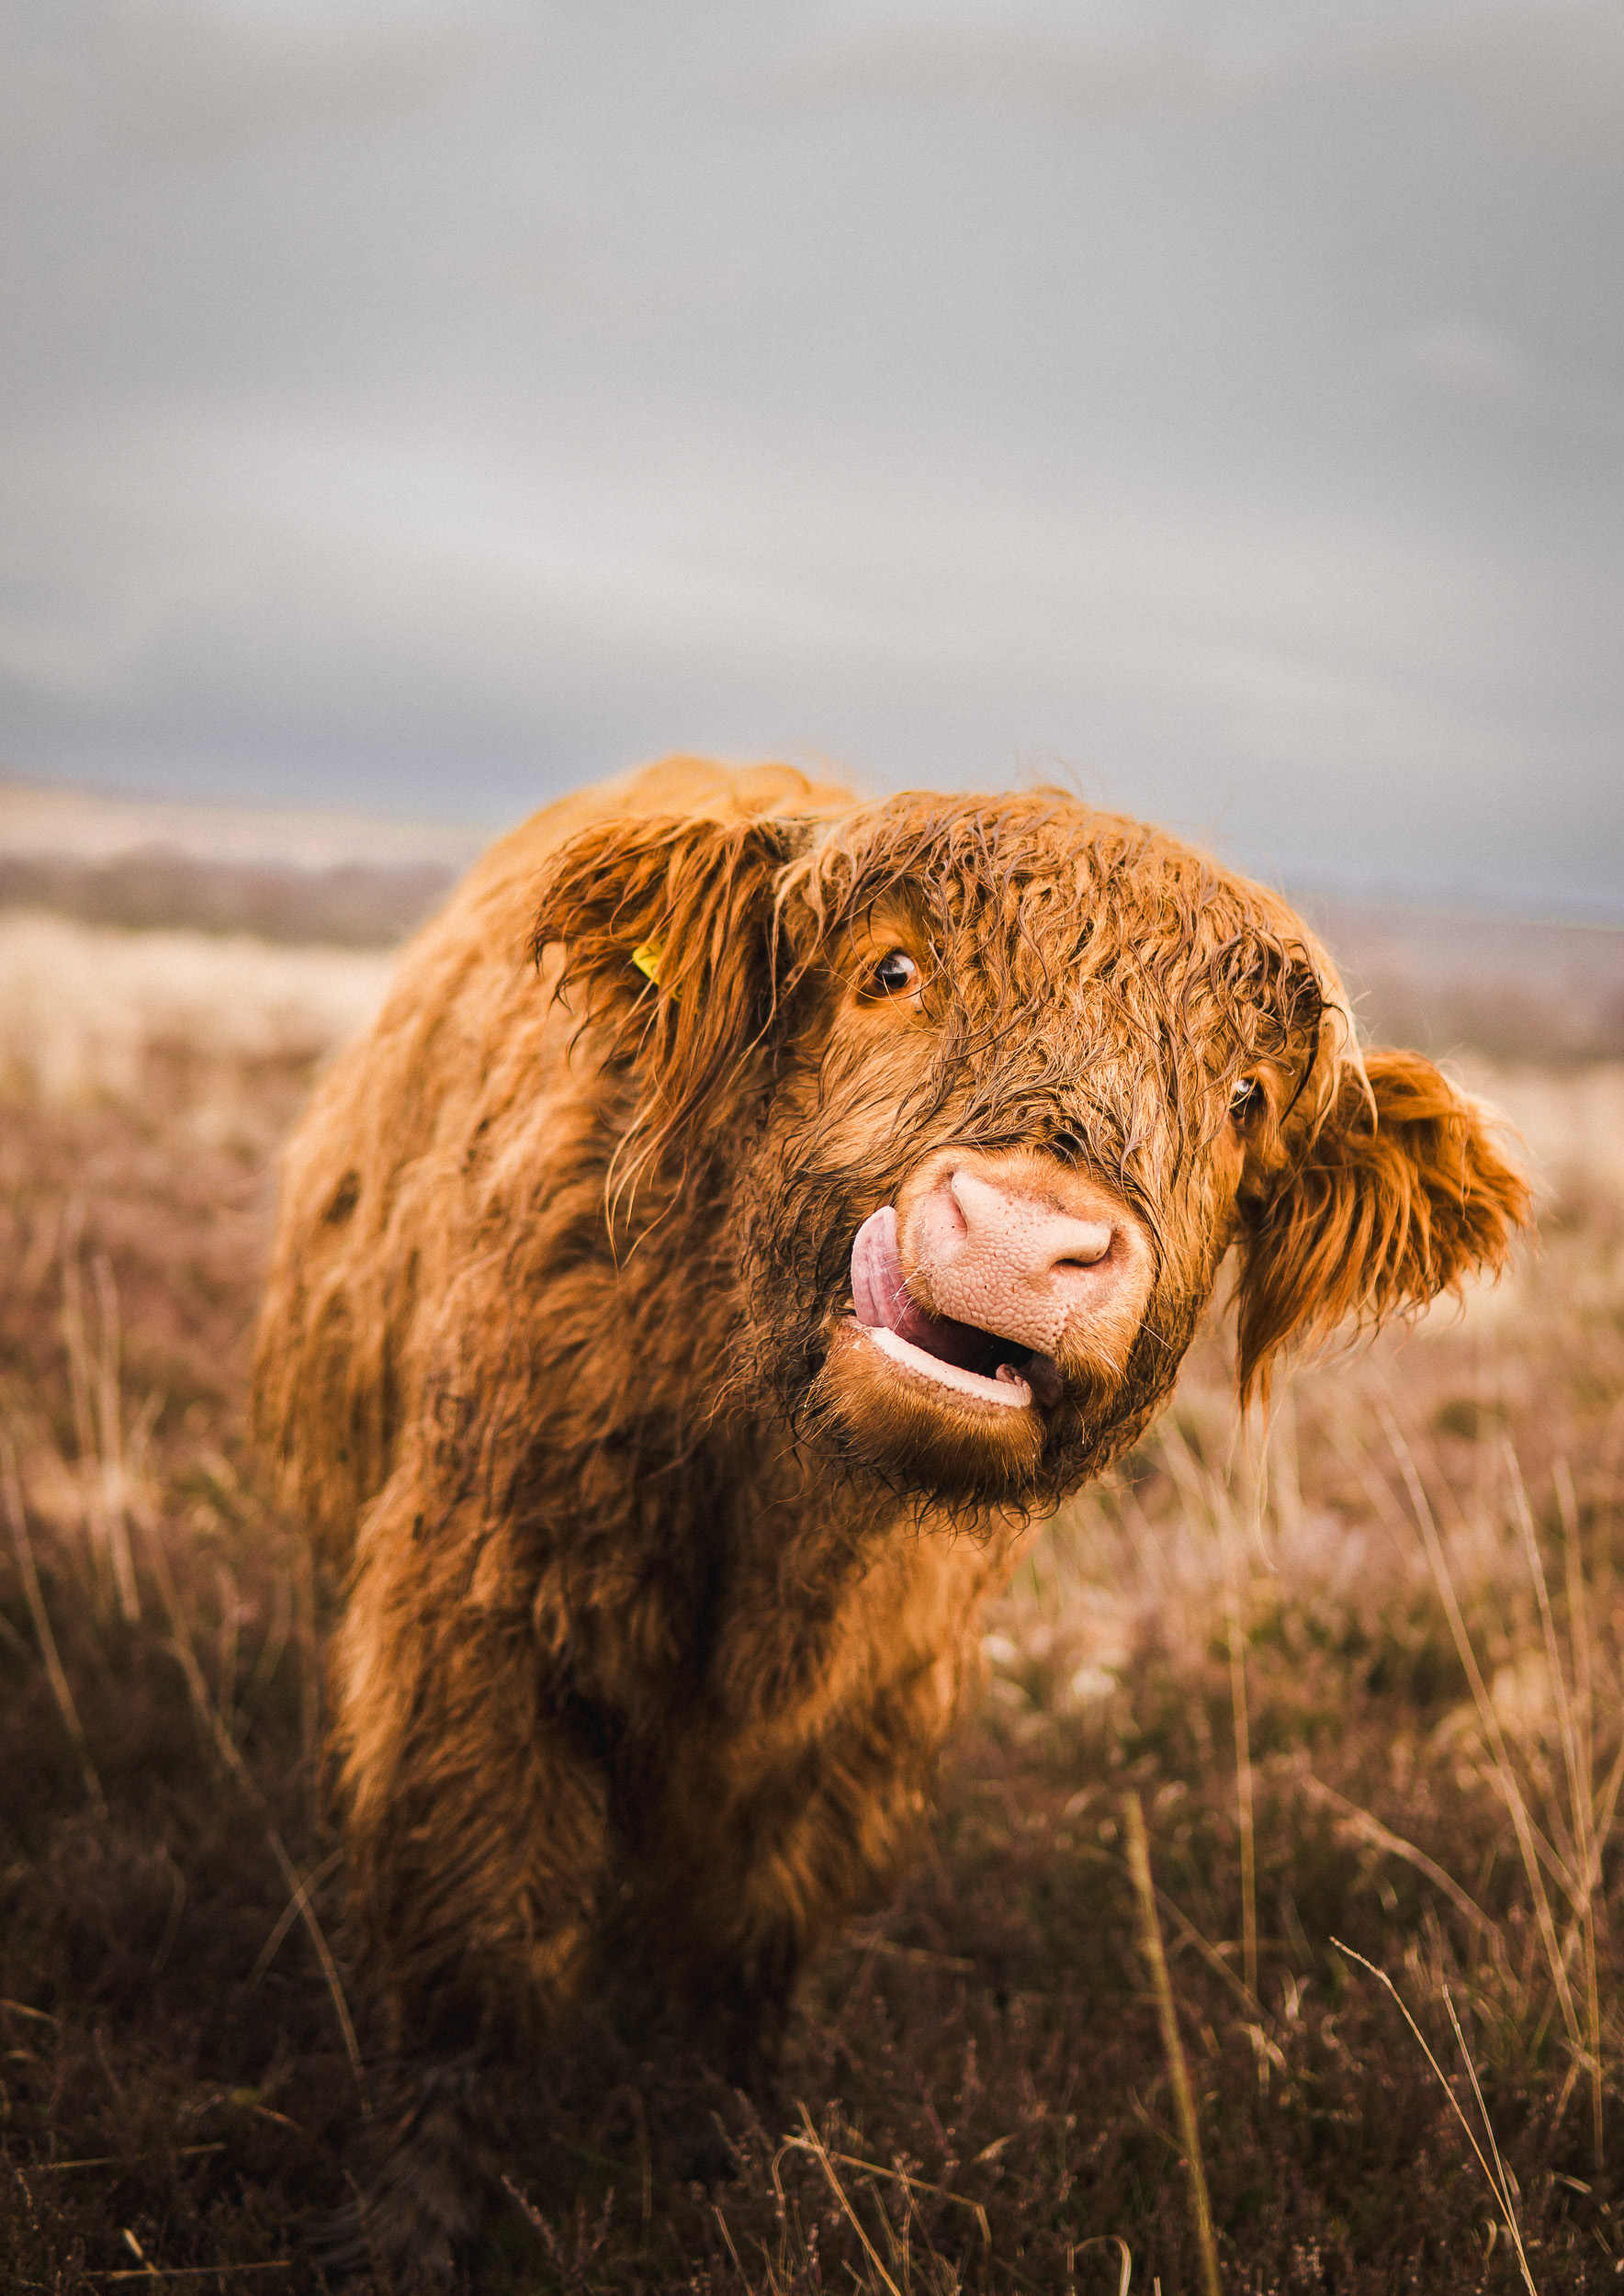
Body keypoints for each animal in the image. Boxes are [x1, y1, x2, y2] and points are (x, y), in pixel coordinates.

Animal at [254, 755, 1530, 2273]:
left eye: (1244, 1094)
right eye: (891, 972)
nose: (1029, 1239)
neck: (777, 1511)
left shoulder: (865, 1710)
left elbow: (752, 1948)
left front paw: (732, 2163)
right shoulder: (479, 1616)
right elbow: (477, 1946)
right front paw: (408, 2223)